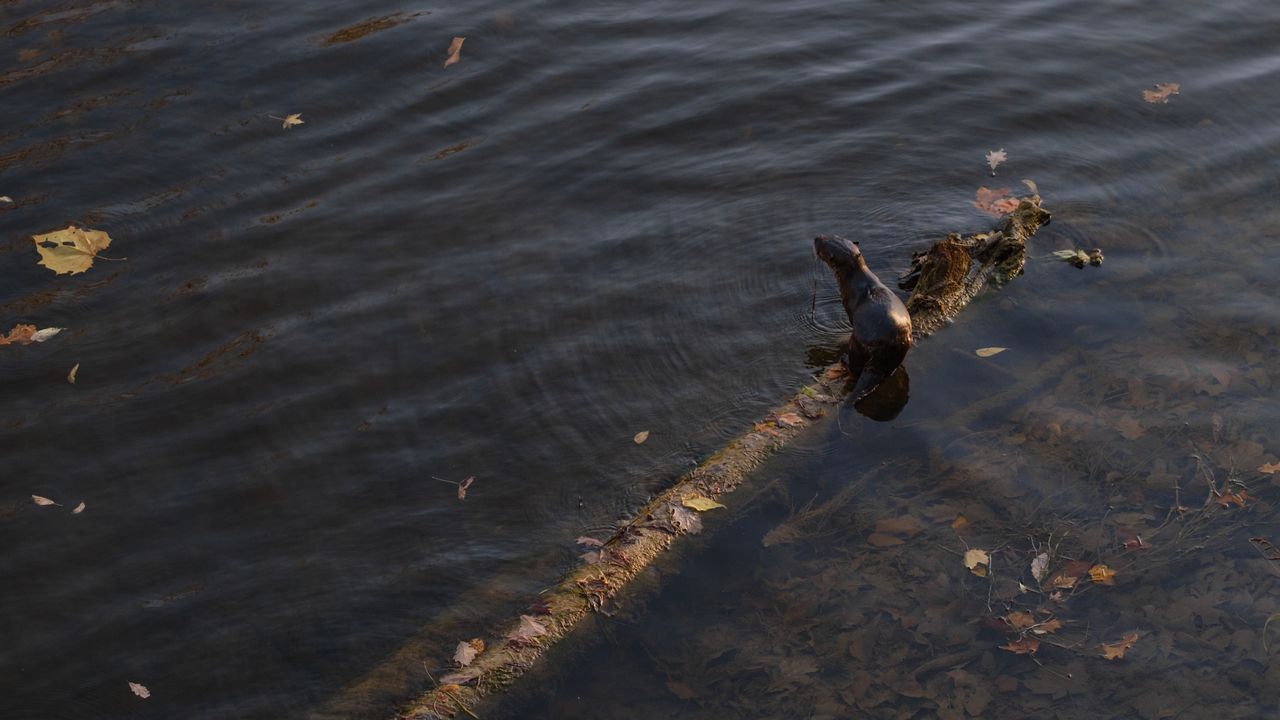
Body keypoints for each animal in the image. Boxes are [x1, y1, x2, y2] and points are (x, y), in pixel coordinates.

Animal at [814, 235, 913, 401]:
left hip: (857, 344)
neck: (857, 281)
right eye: (831, 236)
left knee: (855, 366)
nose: (816, 238)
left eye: (822, 246)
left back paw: (845, 359)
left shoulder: (848, 304)